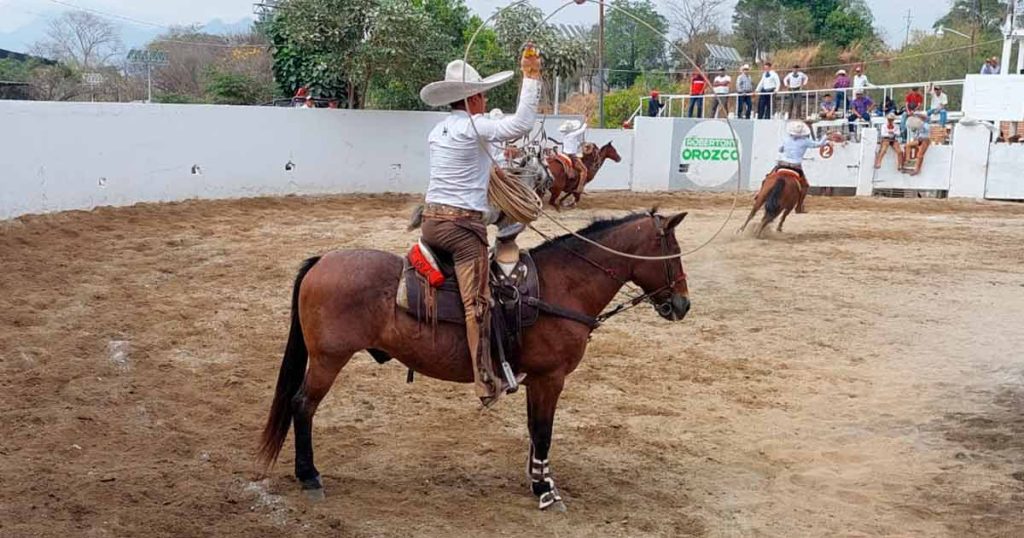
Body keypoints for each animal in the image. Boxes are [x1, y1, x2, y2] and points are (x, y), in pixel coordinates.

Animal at [256, 209, 692, 508]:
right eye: (673, 252)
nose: (682, 305)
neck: (559, 287)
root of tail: (322, 260)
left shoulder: (536, 379)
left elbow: (534, 430)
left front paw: (537, 479)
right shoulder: (551, 377)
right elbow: (544, 431)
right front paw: (545, 490)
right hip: (328, 360)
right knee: (302, 405)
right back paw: (309, 476)